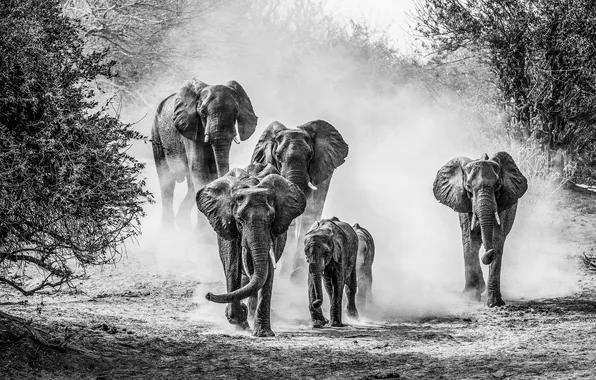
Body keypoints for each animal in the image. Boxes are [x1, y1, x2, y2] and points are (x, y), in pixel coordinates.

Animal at [152, 77, 258, 226]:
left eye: (237, 111)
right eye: (202, 112)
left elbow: (211, 170)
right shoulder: (189, 127)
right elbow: (200, 168)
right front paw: (203, 231)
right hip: (156, 135)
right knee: (166, 182)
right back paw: (168, 229)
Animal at [197, 163, 308, 336]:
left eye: (271, 219)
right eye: (239, 220)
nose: (208, 295)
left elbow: (267, 272)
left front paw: (263, 333)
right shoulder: (227, 225)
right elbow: (232, 266)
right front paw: (240, 321)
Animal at [434, 151, 528, 306]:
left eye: (498, 186)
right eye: (468, 187)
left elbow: (497, 241)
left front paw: (494, 303)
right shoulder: (464, 204)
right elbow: (469, 241)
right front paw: (469, 297)